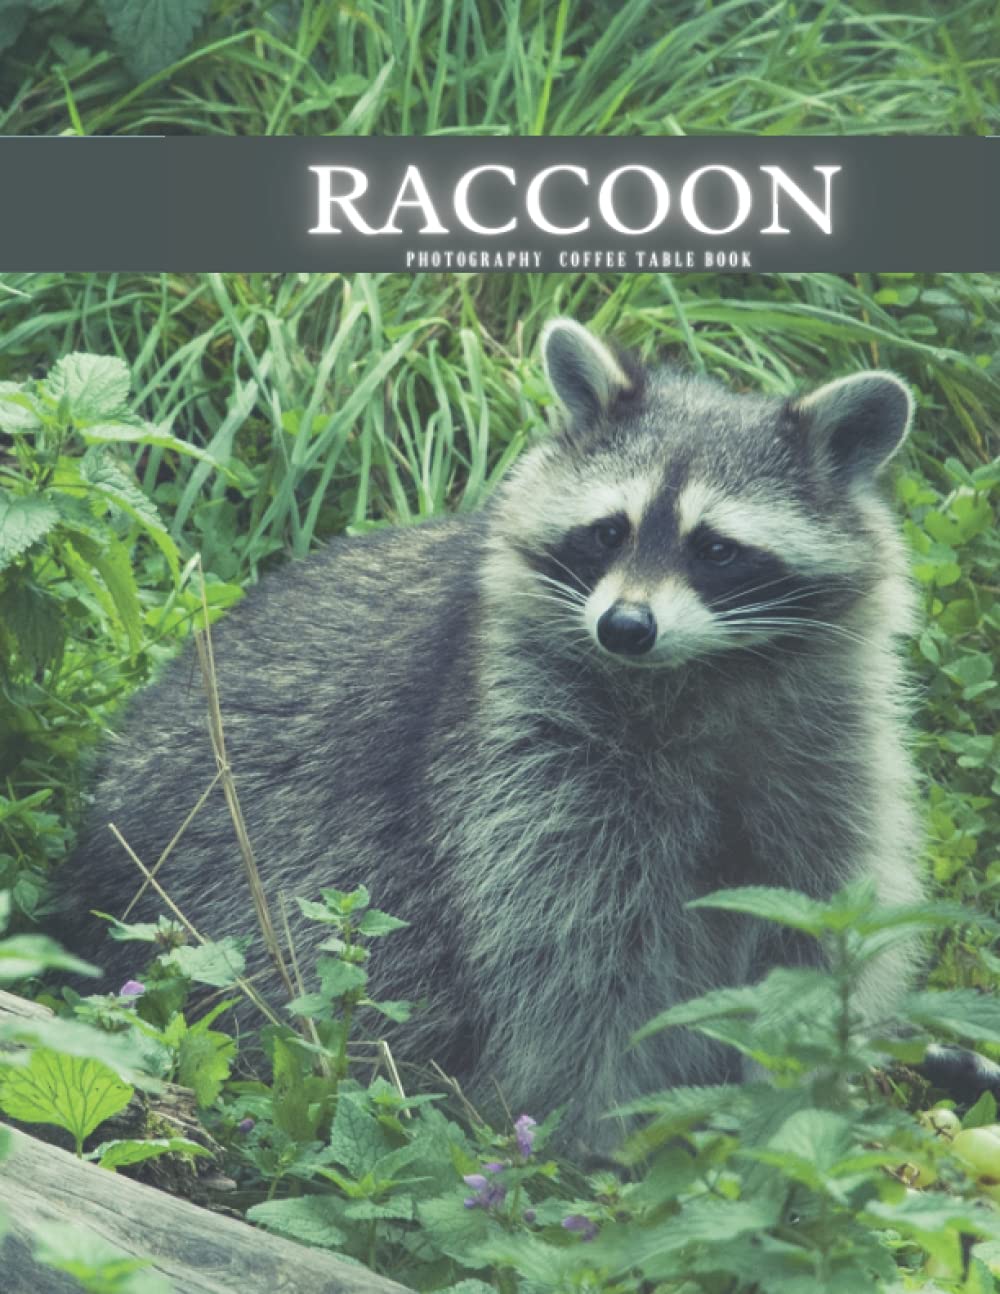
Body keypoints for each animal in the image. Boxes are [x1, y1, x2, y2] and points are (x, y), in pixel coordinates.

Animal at [66, 319, 925, 1151]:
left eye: (716, 548)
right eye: (608, 532)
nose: (625, 627)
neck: (693, 678)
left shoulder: (821, 761)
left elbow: (812, 939)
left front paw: (788, 1102)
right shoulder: (523, 762)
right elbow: (572, 963)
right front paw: (594, 1127)